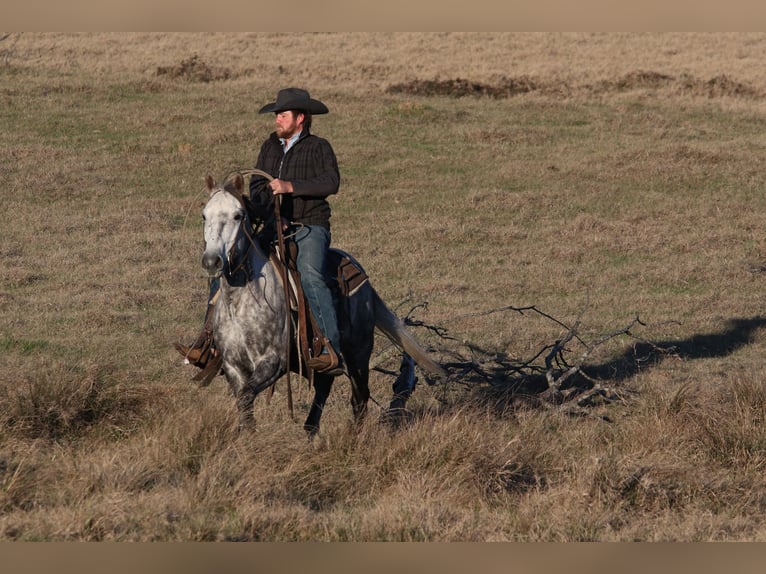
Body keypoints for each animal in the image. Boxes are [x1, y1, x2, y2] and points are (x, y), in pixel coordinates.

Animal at [200, 173, 450, 434]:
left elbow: (247, 396)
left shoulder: (272, 362)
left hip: (359, 353)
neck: (242, 302)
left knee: (359, 398)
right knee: (323, 389)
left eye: (238, 215)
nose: (212, 261)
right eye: (204, 215)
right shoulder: (233, 367)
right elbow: (244, 405)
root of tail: (359, 272)